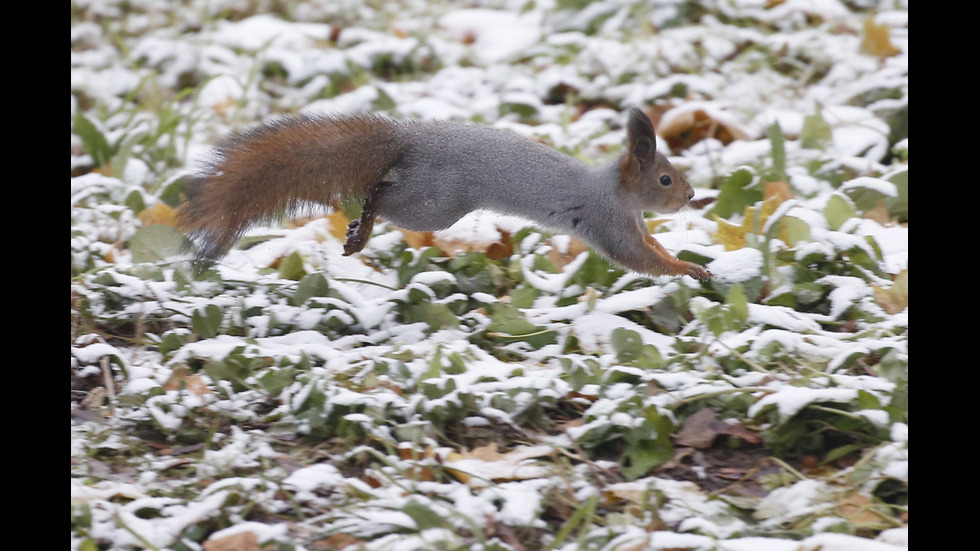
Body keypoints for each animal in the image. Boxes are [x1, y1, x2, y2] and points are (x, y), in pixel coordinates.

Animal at [178, 107, 712, 280]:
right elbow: (638, 259)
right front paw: (689, 271)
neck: (617, 193)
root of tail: (411, 142)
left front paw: (686, 260)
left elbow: (651, 246)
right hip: (435, 204)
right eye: (664, 179)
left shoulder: (633, 224)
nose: (690, 196)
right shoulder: (607, 222)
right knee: (381, 195)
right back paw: (361, 228)